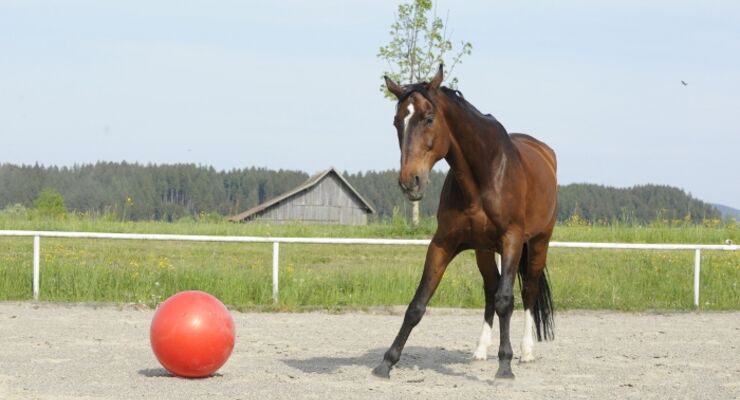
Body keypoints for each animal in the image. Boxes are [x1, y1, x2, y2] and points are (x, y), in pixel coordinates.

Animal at [372, 64, 556, 380]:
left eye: (429, 118)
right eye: (397, 121)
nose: (410, 182)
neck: (484, 176)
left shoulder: (511, 240)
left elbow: (506, 301)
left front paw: (505, 366)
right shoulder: (443, 243)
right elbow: (417, 304)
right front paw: (387, 362)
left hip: (538, 243)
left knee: (528, 292)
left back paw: (526, 352)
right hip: (484, 251)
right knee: (490, 291)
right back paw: (481, 350)